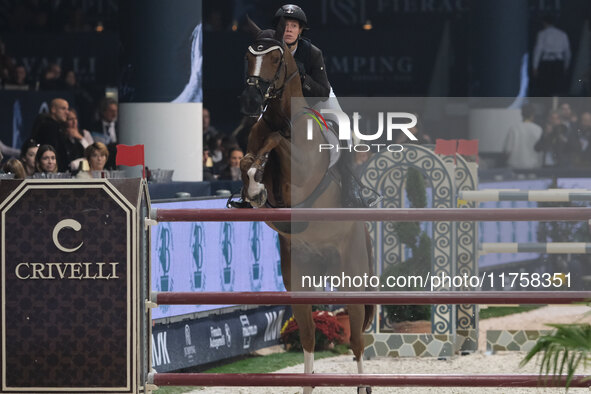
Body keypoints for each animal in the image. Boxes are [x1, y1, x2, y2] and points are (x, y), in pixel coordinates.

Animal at [237, 16, 372, 392]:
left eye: (275, 57)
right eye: (248, 56)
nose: (251, 100)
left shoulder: (300, 173)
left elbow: (277, 143)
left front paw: (259, 176)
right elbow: (250, 158)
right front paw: (253, 187)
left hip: (352, 276)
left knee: (357, 340)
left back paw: (363, 383)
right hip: (299, 279)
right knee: (310, 336)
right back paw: (308, 383)